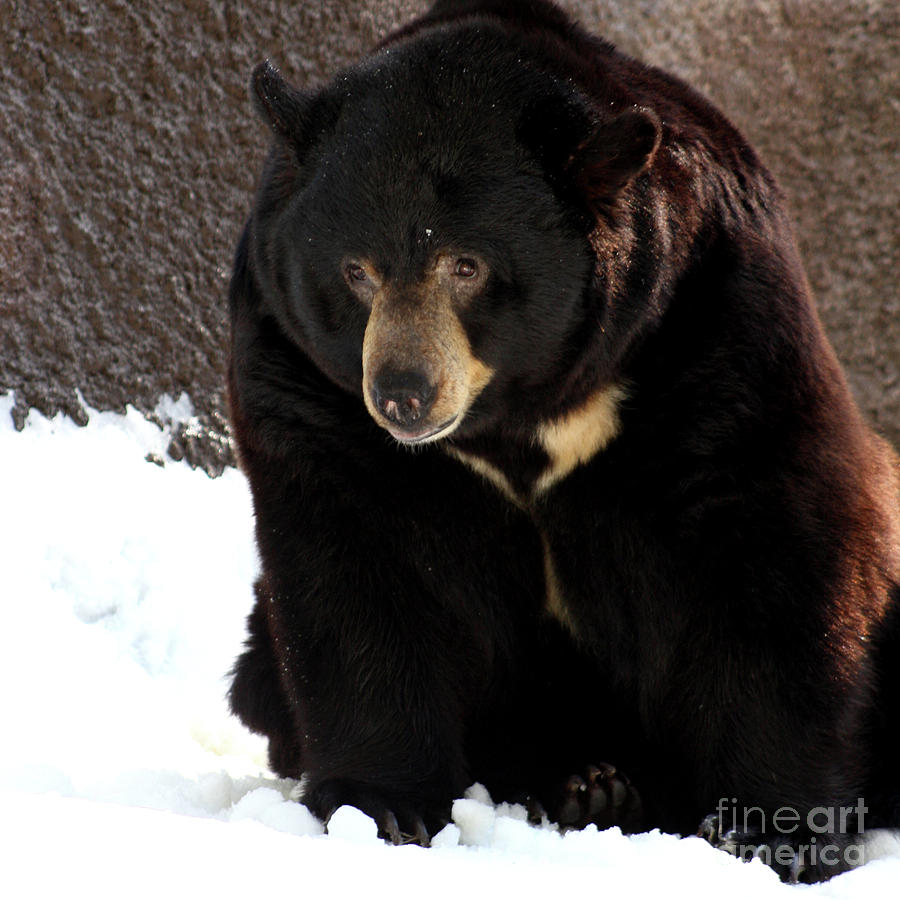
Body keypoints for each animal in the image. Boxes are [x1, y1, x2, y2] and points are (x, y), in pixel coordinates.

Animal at [229, 0, 900, 880]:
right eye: (356, 271)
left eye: (468, 266)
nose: (403, 394)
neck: (521, 408)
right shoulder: (300, 372)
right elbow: (351, 558)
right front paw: (384, 805)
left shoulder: (717, 323)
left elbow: (772, 536)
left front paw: (772, 836)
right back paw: (586, 785)